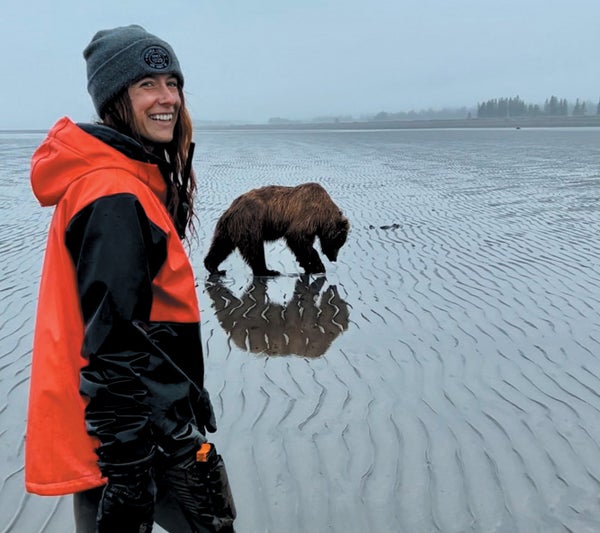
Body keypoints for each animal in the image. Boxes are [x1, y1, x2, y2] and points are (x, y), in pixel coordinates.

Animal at [204, 182, 350, 276]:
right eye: (339, 242)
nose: (334, 258)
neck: (323, 216)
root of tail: (231, 209)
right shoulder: (308, 216)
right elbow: (297, 238)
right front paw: (317, 266)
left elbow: (301, 244)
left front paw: (308, 265)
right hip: (251, 223)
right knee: (254, 248)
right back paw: (267, 271)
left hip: (228, 229)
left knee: (221, 246)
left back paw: (213, 267)